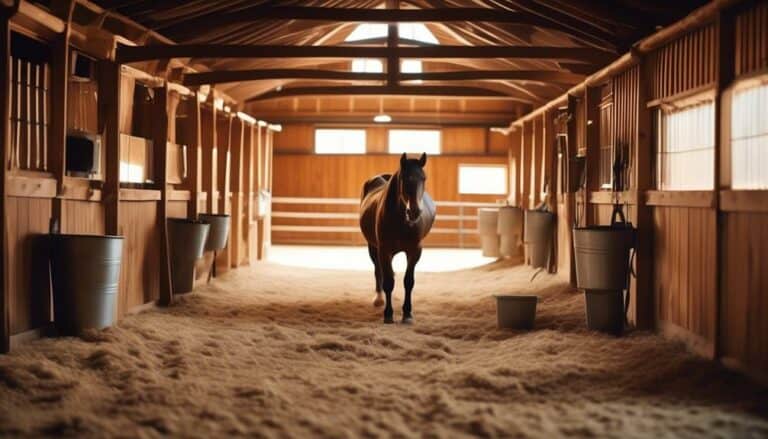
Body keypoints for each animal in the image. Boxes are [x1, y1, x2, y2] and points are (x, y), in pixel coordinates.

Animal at [358, 153, 436, 324]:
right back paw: (379, 299)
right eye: (405, 178)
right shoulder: (384, 250)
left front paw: (407, 313)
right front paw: (388, 314)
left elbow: (408, 281)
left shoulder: (415, 251)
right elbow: (388, 281)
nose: (414, 211)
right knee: (378, 271)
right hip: (373, 248)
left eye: (424, 178)